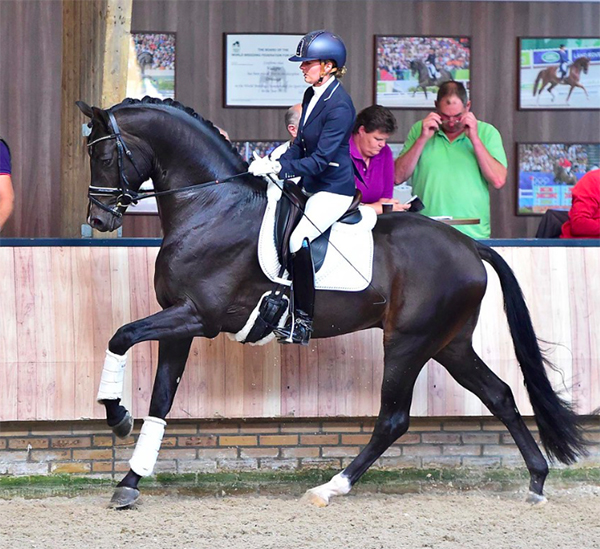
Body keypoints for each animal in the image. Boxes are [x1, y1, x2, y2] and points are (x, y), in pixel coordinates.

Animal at [75, 96, 584, 508]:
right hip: (450, 343)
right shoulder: (180, 320)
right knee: (499, 394)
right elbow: (160, 399)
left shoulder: (197, 316)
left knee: (393, 419)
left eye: (104, 154)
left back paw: (330, 487)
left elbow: (120, 336)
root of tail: (469, 244)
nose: (99, 219)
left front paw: (117, 417)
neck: (212, 205)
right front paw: (130, 481)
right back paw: (537, 481)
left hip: (409, 343)